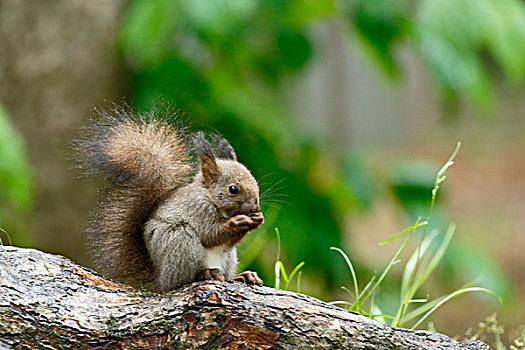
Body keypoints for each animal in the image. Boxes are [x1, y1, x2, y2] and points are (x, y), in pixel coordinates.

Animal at [72, 104, 262, 290]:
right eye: (233, 189)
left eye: (256, 182)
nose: (255, 208)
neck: (210, 197)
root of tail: (160, 278)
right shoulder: (198, 208)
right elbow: (210, 234)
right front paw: (237, 222)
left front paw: (257, 219)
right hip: (180, 240)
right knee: (179, 281)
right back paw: (205, 274)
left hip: (228, 257)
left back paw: (240, 276)